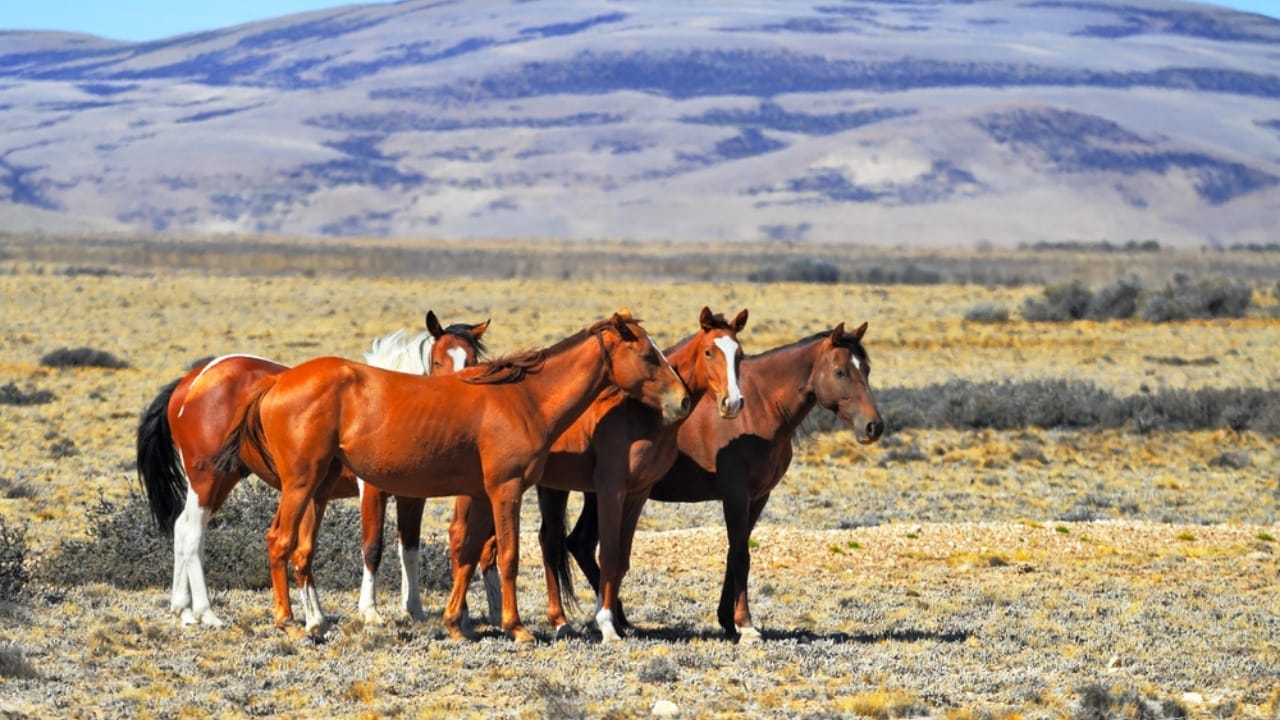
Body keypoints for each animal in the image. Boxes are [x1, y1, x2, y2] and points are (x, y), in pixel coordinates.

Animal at [134, 311, 488, 627]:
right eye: (439, 361)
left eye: (472, 359)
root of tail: (191, 382)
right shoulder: (372, 492)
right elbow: (372, 547)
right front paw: (370, 612)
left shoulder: (412, 497)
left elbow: (410, 550)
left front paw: (414, 609)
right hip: (208, 478)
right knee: (193, 532)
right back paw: (207, 613)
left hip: (223, 480)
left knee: (183, 527)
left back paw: (183, 611)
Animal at [211, 311, 690, 641]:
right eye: (647, 354)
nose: (683, 400)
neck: (523, 399)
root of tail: (276, 384)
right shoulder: (506, 490)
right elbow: (508, 555)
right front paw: (516, 627)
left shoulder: (478, 495)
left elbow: (467, 554)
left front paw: (456, 624)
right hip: (301, 484)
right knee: (279, 541)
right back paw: (289, 622)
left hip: (320, 487)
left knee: (301, 550)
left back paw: (315, 621)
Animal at [450, 306, 748, 643]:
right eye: (710, 352)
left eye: (739, 354)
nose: (732, 403)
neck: (639, 415)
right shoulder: (610, 489)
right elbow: (608, 552)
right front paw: (606, 624)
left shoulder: (638, 493)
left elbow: (622, 558)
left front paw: (616, 622)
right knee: (462, 538)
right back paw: (464, 620)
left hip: (549, 488)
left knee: (545, 541)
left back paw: (559, 620)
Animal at [548, 322, 883, 643]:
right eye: (840, 371)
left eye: (866, 369)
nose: (874, 426)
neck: (761, 406)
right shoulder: (735, 493)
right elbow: (740, 555)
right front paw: (745, 626)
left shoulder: (758, 497)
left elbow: (736, 552)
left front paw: (728, 621)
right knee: (557, 543)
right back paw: (579, 620)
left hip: (597, 493)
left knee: (580, 542)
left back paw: (618, 618)